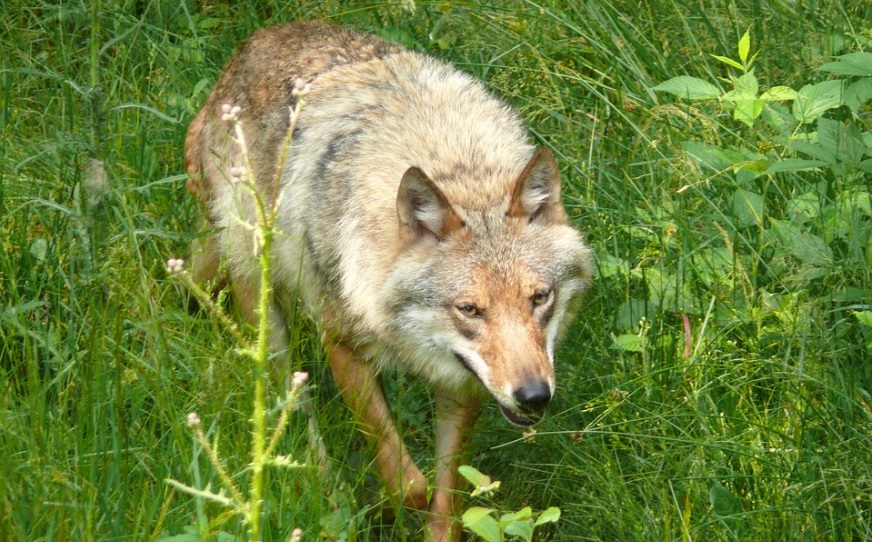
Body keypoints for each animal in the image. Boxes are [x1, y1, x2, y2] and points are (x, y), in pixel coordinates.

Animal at [184, 20, 592, 542]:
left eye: (539, 298)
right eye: (470, 309)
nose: (534, 396)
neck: (451, 162)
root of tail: (253, 45)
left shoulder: (461, 382)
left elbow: (449, 499)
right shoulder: (341, 344)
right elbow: (408, 480)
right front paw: (393, 506)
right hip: (266, 321)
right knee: (294, 415)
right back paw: (331, 495)